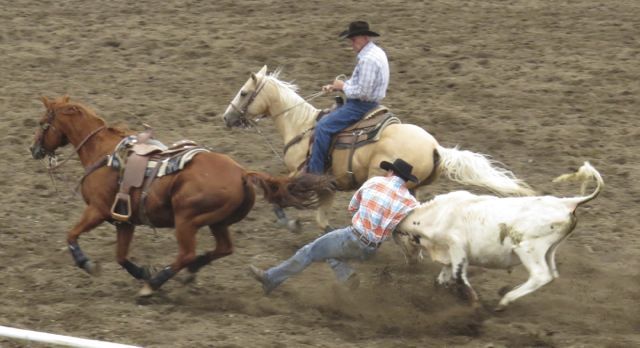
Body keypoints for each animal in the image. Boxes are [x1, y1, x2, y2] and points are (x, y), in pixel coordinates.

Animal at [28, 96, 330, 296]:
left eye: (43, 123)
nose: (33, 149)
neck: (104, 154)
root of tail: (242, 172)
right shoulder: (125, 221)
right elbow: (121, 256)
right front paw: (142, 271)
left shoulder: (98, 210)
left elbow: (71, 235)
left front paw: (87, 263)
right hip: (217, 222)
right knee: (222, 249)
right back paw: (185, 273)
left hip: (187, 220)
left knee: (187, 253)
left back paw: (154, 285)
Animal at [222, 66, 532, 232]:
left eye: (244, 92)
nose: (226, 117)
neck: (302, 126)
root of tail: (436, 148)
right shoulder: (327, 185)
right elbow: (321, 218)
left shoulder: (302, 174)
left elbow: (280, 197)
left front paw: (291, 224)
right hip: (410, 188)